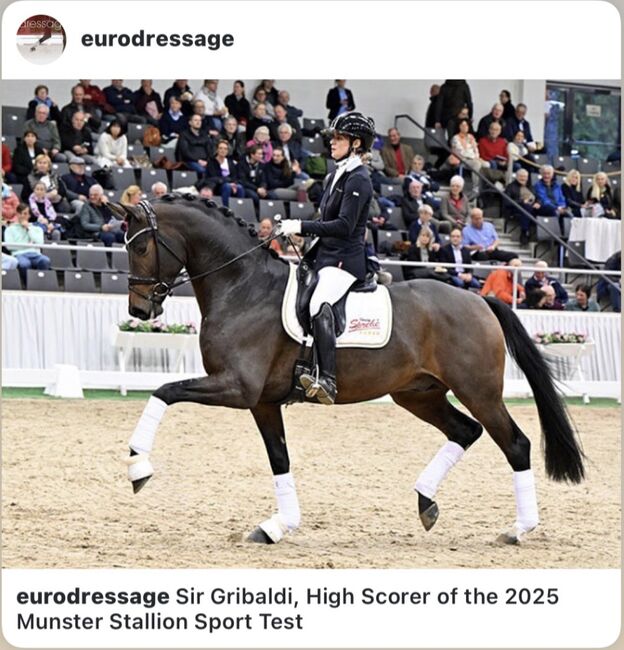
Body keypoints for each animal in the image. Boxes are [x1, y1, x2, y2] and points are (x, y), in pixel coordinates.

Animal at [114, 195, 584, 546]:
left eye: (140, 247)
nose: (138, 310)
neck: (243, 287)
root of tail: (478, 299)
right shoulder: (261, 401)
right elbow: (279, 458)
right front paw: (277, 526)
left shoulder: (237, 388)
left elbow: (163, 391)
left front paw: (138, 468)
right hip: (418, 394)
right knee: (465, 431)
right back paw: (426, 503)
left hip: (478, 391)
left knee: (516, 444)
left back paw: (518, 529)